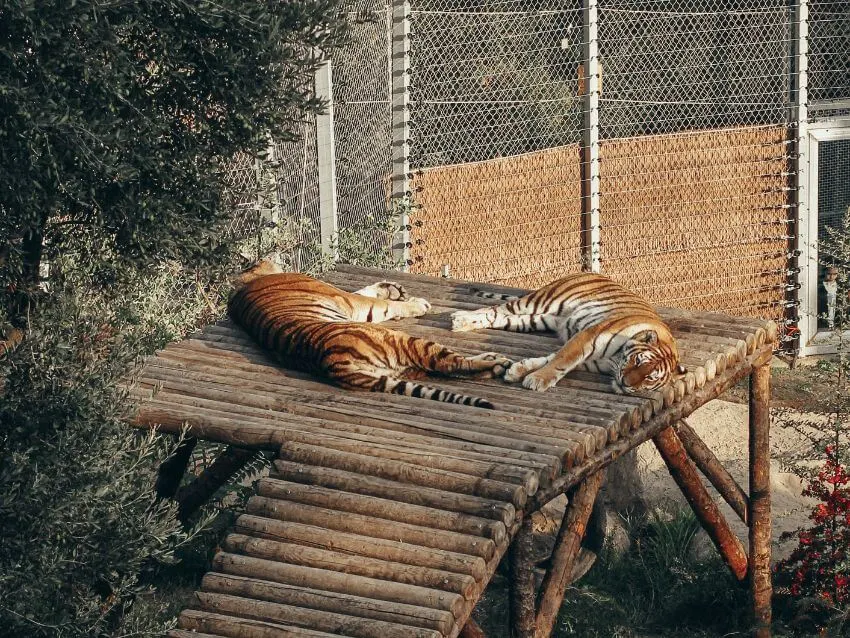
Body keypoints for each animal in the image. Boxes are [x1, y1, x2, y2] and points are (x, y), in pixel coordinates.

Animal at [225, 260, 512, 410]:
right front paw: (415, 303)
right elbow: (375, 302)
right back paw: (498, 362)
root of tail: (329, 363)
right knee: (450, 363)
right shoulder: (345, 299)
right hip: (400, 339)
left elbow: (367, 292)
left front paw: (391, 288)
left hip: (402, 368)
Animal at [450, 274, 684, 396]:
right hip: (540, 301)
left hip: (537, 319)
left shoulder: (590, 360)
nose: (626, 383)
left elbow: (549, 359)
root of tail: (590, 272)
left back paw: (461, 320)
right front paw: (537, 380)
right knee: (495, 310)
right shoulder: (587, 338)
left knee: (500, 317)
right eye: (637, 361)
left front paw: (518, 370)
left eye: (649, 378)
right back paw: (459, 319)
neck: (615, 360)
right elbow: (561, 361)